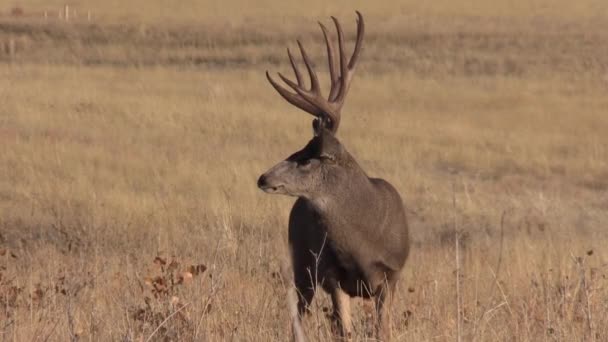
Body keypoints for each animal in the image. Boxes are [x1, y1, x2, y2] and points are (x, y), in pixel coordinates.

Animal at [256, 12, 408, 340]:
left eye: (312, 157)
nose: (263, 178)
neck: (364, 240)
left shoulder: (391, 274)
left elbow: (382, 330)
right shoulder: (331, 274)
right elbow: (344, 329)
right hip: (302, 266)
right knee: (299, 313)